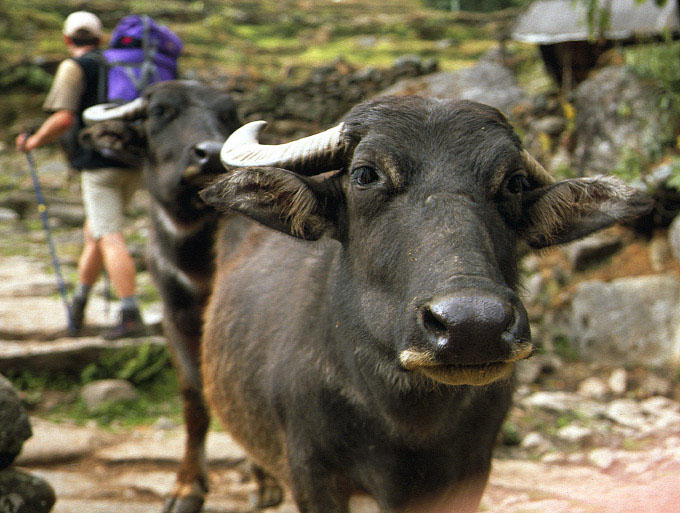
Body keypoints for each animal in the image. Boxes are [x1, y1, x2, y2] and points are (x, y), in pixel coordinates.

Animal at [81, 80, 240, 512]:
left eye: (227, 115)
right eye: (161, 112)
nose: (211, 154)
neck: (196, 259)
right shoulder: (175, 317)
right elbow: (196, 397)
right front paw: (186, 487)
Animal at [199, 94, 652, 510]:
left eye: (515, 182)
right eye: (365, 174)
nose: (474, 326)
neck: (408, 421)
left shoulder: (472, 471)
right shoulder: (312, 475)